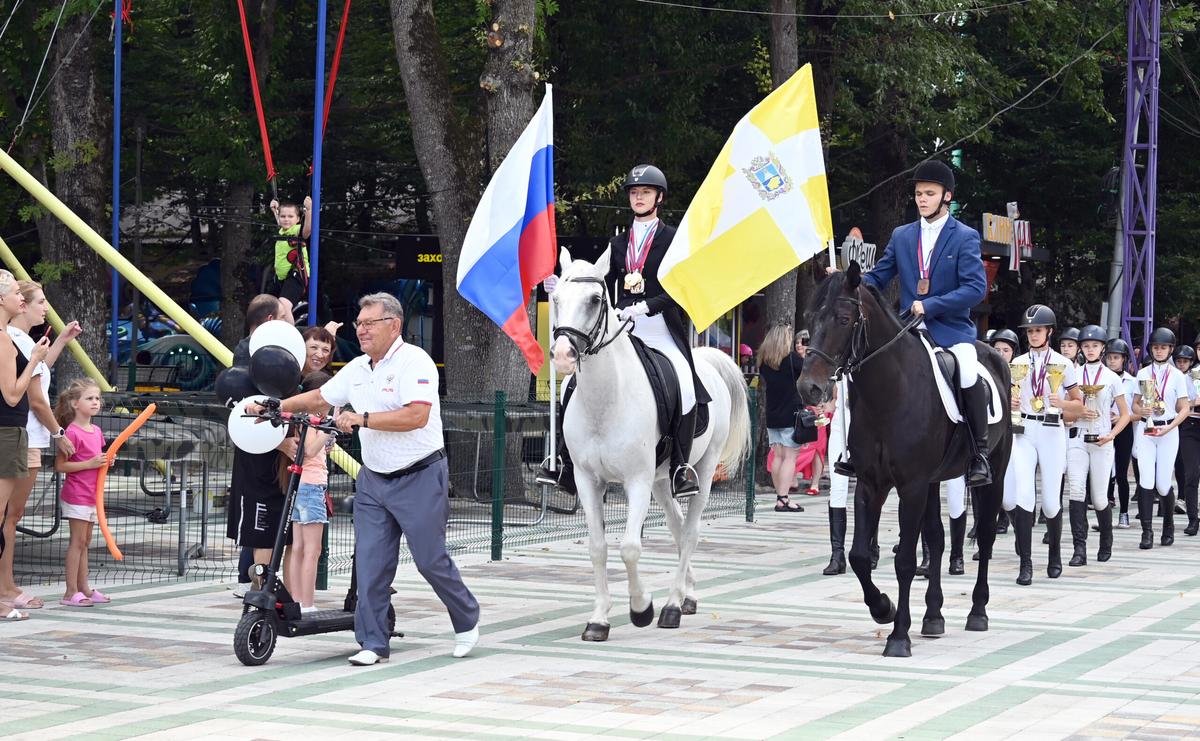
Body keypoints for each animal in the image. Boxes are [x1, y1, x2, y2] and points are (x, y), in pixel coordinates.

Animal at [549, 248, 748, 642]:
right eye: (556, 299)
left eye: (595, 300)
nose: (563, 356)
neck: (605, 399)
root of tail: (706, 360)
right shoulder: (587, 480)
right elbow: (597, 548)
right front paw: (598, 619)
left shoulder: (636, 480)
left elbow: (629, 547)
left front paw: (641, 608)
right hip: (661, 480)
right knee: (676, 527)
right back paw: (687, 596)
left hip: (701, 470)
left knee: (690, 532)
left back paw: (671, 607)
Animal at [796, 262, 1012, 657]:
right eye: (809, 317)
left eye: (844, 318)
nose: (809, 388)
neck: (888, 392)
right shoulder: (871, 483)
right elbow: (859, 556)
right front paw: (883, 608)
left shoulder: (910, 486)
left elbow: (906, 560)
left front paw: (898, 637)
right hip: (933, 481)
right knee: (938, 539)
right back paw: (933, 617)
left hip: (994, 474)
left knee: (986, 537)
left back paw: (977, 612)